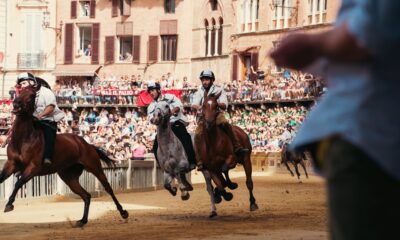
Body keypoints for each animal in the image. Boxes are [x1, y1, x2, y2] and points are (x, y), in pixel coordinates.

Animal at [0, 87, 128, 226]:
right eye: (20, 90)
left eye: (32, 95)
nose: (16, 104)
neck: (23, 139)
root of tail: (87, 144)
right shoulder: (11, 163)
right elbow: (3, 178)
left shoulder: (33, 168)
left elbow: (18, 183)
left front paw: (9, 204)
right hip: (69, 177)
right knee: (86, 195)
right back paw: (82, 220)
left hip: (94, 167)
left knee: (108, 188)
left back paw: (123, 212)